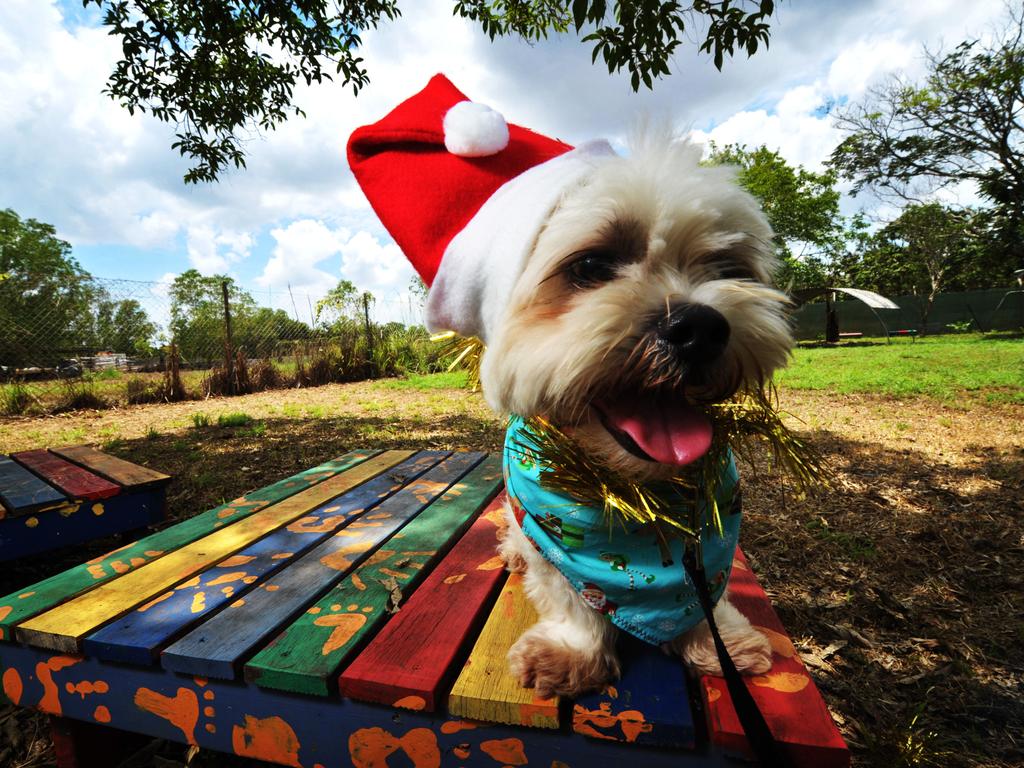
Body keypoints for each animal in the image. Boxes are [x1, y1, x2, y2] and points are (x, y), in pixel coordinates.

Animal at [479, 134, 790, 704]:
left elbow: (710, 595)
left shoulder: (710, 547)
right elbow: (569, 596)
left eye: (727, 268)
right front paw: (572, 652)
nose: (701, 328)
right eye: (590, 266)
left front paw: (719, 640)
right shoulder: (552, 536)